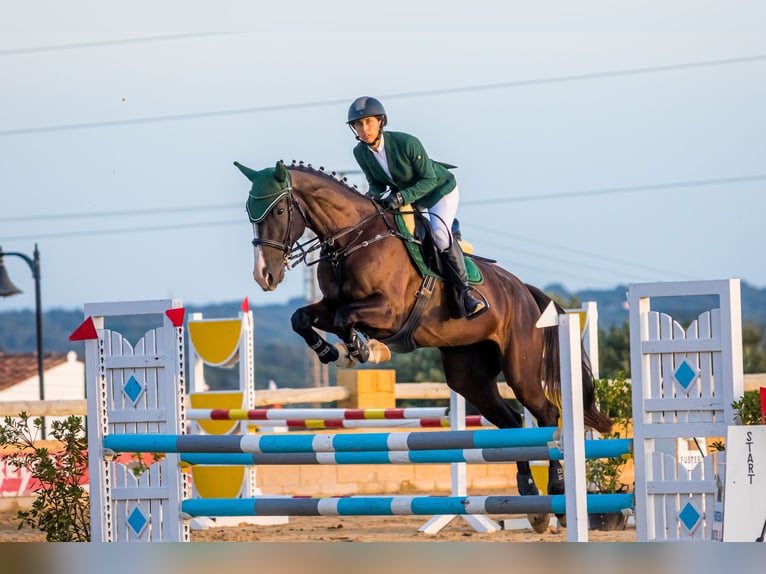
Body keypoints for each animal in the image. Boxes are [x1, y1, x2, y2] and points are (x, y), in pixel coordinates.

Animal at [234, 160, 612, 532]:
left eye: (279, 210)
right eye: (251, 213)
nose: (264, 277)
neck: (354, 240)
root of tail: (526, 292)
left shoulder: (388, 311)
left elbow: (345, 319)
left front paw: (365, 349)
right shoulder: (329, 306)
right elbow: (301, 318)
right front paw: (336, 352)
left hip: (522, 370)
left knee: (546, 415)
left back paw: (558, 499)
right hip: (468, 375)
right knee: (512, 423)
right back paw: (532, 501)